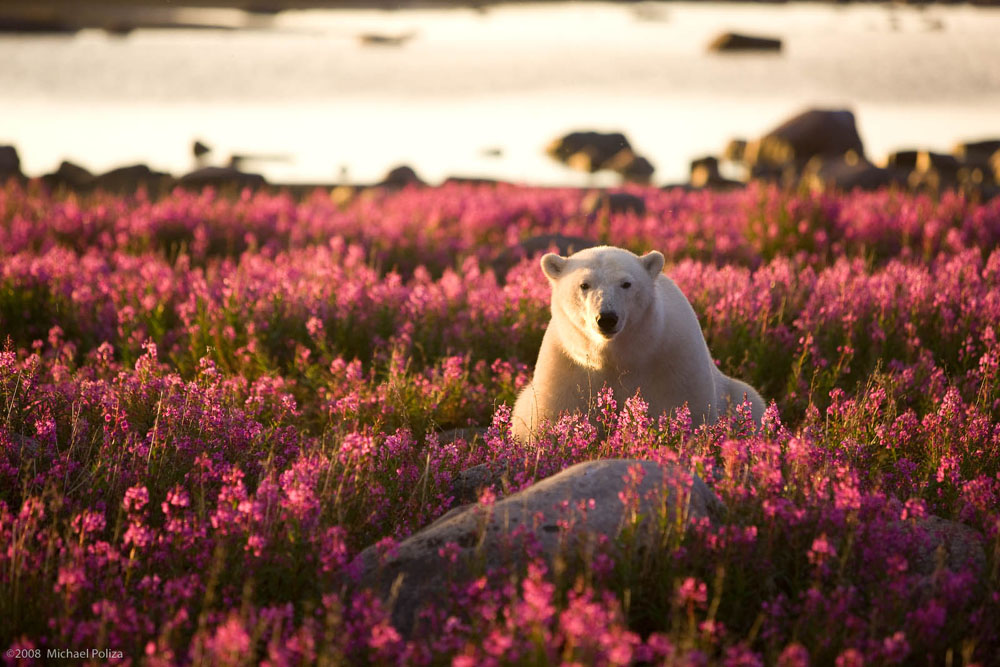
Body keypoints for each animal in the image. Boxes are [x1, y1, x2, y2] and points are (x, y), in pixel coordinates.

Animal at [516, 245, 764, 444]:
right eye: (584, 285)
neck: (618, 356)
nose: (607, 318)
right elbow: (554, 414)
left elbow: (688, 409)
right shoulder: (567, 364)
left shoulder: (673, 358)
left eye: (626, 283)